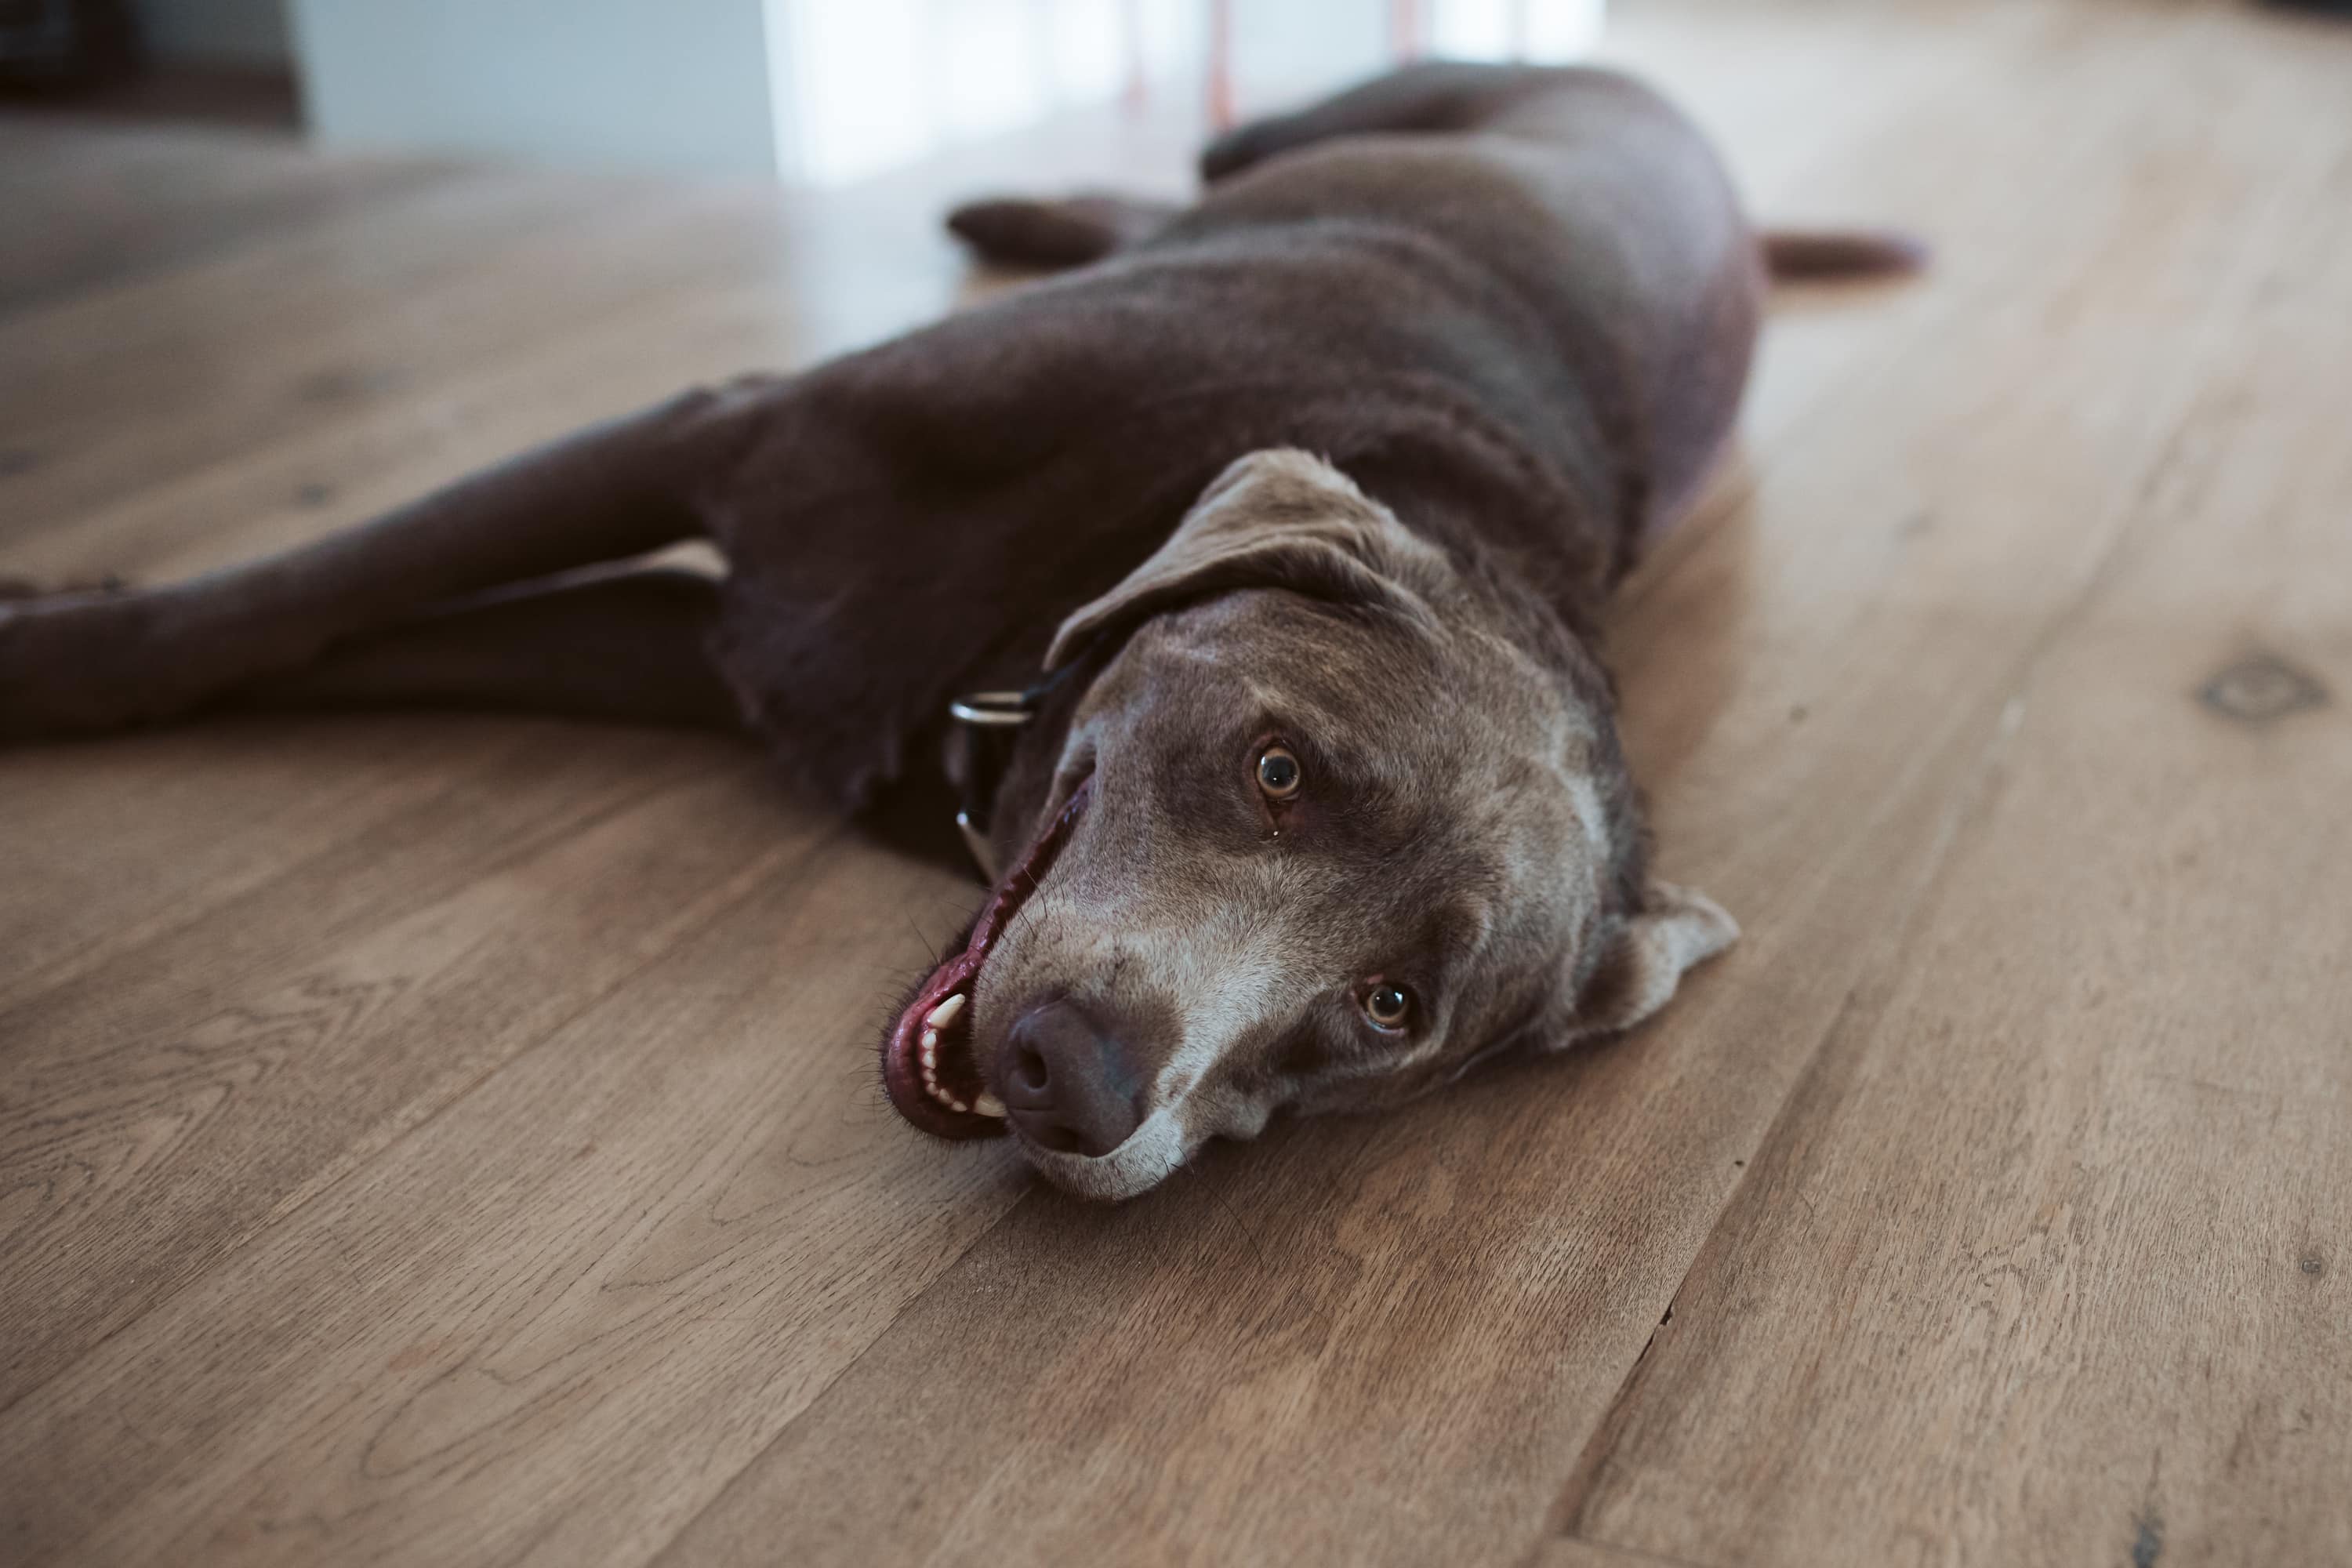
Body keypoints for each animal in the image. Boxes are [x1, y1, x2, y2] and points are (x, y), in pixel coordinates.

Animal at [0, 61, 1910, 1203]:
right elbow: (295, 603)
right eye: (1281, 770)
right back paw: (1002, 212)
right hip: (1307, 126)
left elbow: (368, 637)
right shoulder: (733, 437)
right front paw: (56, 645)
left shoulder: (724, 655)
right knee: (1179, 174)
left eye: (1388, 1007)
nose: (1079, 1075)